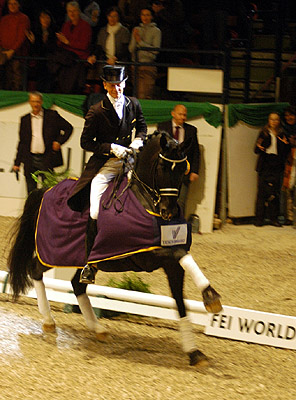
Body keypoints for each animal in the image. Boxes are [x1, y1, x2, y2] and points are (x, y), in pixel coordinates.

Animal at [7, 130, 222, 366]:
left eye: (184, 169)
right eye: (162, 168)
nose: (169, 212)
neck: (145, 202)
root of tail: (46, 190)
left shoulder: (171, 265)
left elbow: (180, 300)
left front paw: (194, 351)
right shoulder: (146, 254)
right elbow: (179, 253)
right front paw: (211, 296)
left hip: (77, 259)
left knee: (77, 285)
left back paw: (98, 329)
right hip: (54, 253)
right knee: (35, 270)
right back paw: (49, 322)